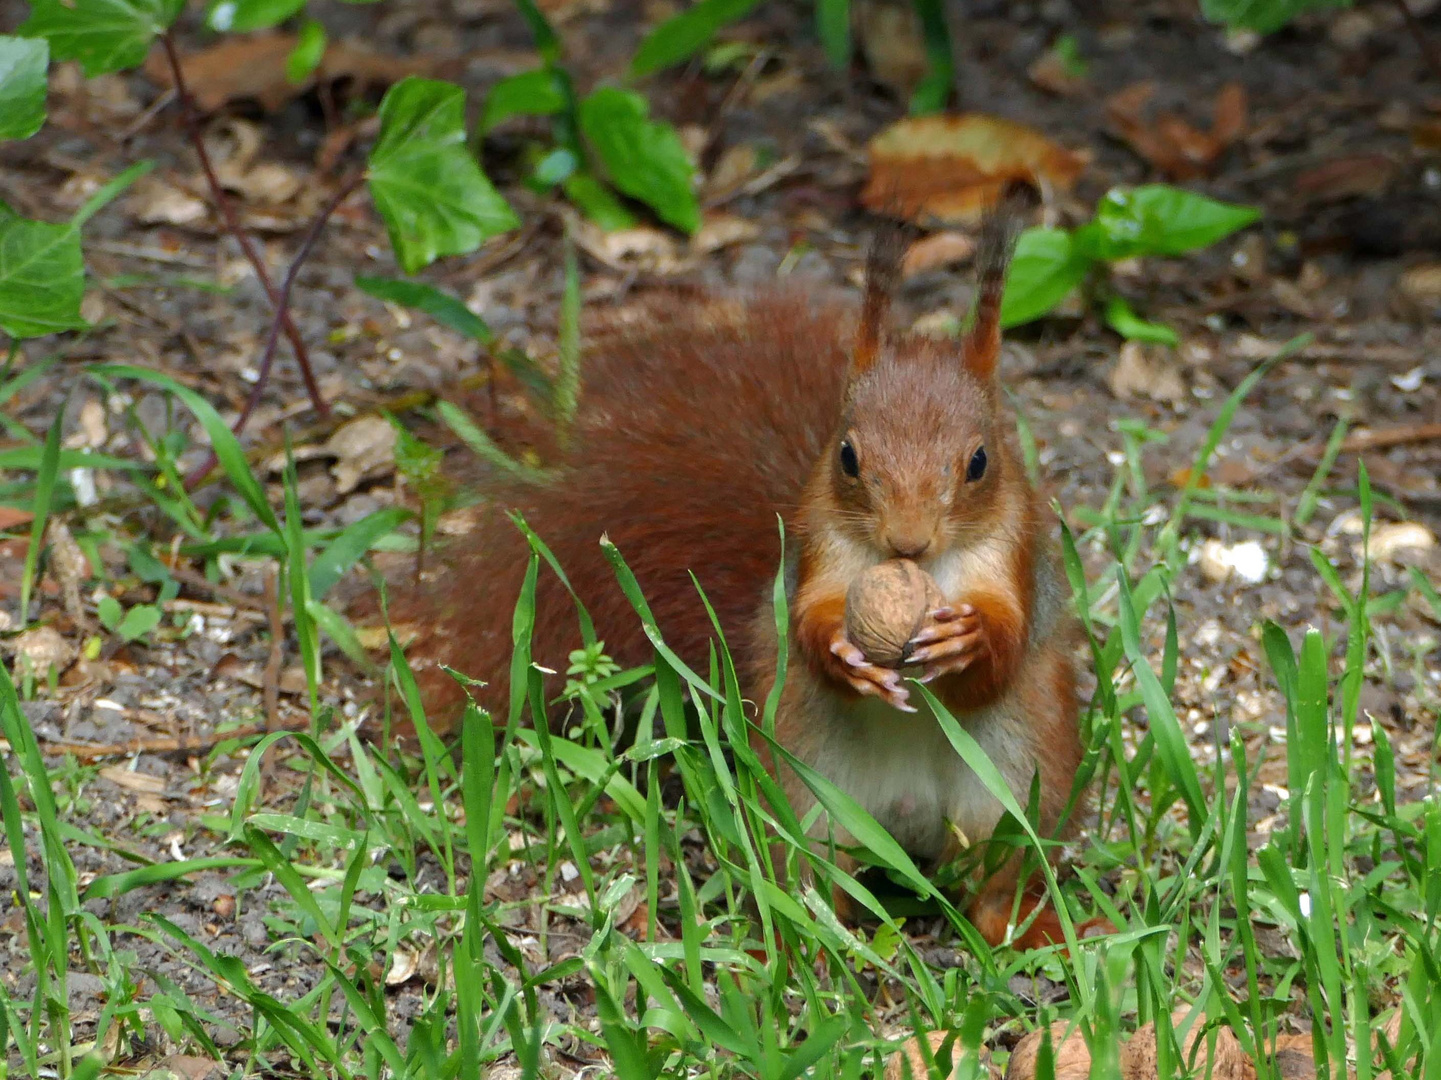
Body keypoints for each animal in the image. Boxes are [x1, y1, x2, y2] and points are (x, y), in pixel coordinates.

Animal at [389, 188, 1095, 945]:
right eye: (847, 456)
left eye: (979, 462)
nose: (907, 541)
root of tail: (905, 825)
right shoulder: (817, 548)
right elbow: (809, 623)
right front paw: (844, 655)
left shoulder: (1016, 555)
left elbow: (1006, 649)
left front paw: (965, 638)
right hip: (804, 790)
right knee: (811, 877)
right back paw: (804, 942)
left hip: (1019, 783)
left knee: (997, 880)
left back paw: (1030, 927)